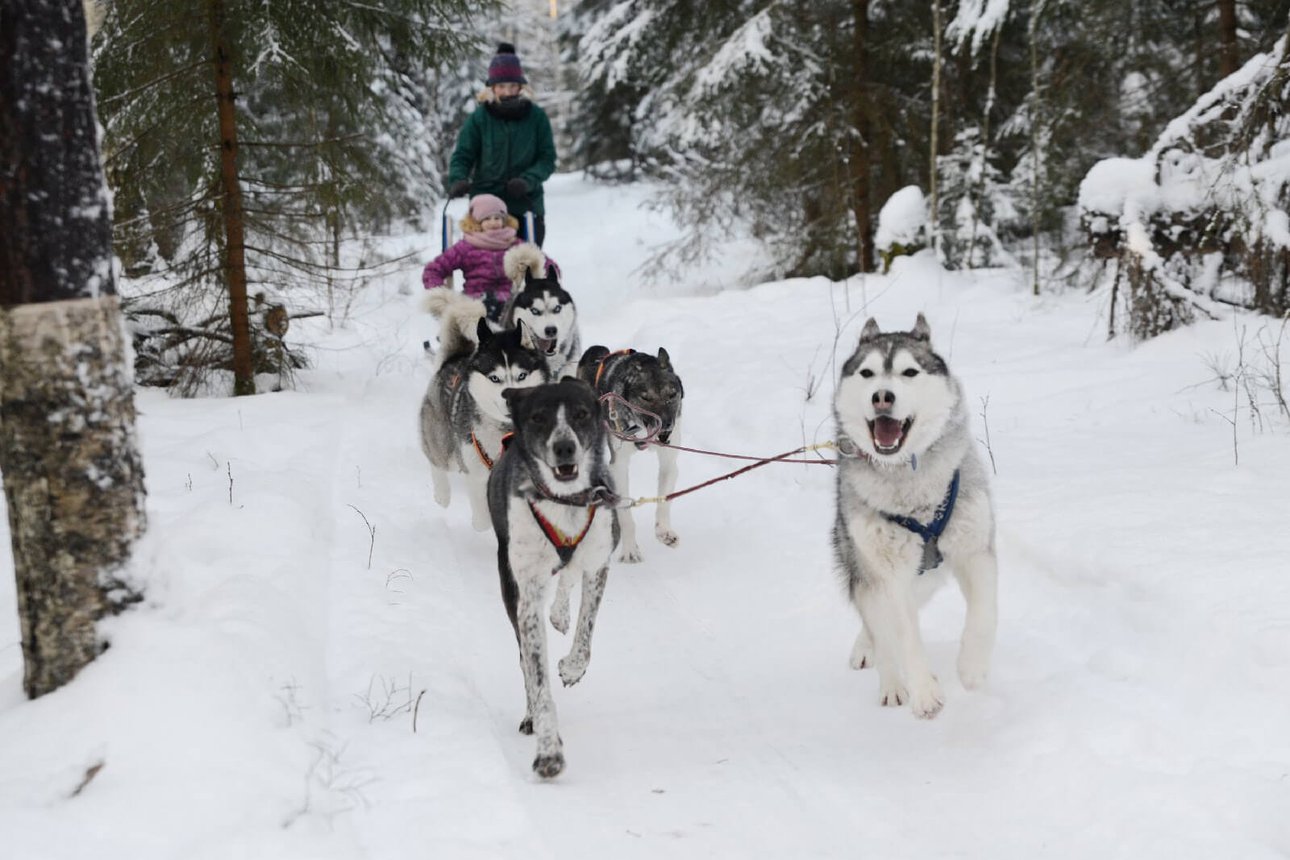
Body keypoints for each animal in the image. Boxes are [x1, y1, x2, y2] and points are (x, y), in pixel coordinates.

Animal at [420, 302, 546, 531]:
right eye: (495, 378)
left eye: (521, 375)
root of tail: (455, 357)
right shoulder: (476, 472)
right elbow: (484, 519)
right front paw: (482, 524)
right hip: (448, 446)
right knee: (437, 460)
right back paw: (442, 494)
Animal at [487, 376, 619, 778]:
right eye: (539, 417)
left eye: (581, 414)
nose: (564, 447)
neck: (565, 501)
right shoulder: (526, 592)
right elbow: (537, 676)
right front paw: (548, 750)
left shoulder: (599, 560)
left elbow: (586, 632)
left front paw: (573, 667)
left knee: (568, 575)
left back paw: (560, 612)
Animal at [580, 345, 686, 564]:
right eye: (646, 398)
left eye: (672, 395)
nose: (667, 425)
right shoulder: (618, 468)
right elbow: (626, 514)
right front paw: (629, 549)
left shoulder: (669, 463)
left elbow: (664, 499)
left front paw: (664, 530)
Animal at [830, 315, 1001, 722]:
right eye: (867, 373)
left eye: (909, 372)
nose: (882, 396)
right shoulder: (890, 573)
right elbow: (904, 635)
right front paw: (924, 691)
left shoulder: (974, 549)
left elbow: (984, 612)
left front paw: (972, 667)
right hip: (866, 564)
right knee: (878, 622)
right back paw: (891, 680)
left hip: (928, 576)